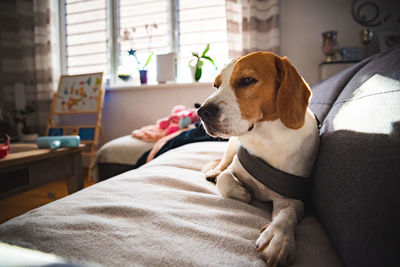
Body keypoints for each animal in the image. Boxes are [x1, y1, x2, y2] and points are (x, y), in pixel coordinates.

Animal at [198, 51, 320, 266]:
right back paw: (214, 172)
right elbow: (226, 178)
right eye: (216, 85)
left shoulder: (291, 198)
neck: (265, 138)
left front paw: (278, 237)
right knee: (222, 165)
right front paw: (242, 193)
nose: (202, 112)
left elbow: (287, 214)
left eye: (247, 80)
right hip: (230, 146)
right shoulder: (235, 167)